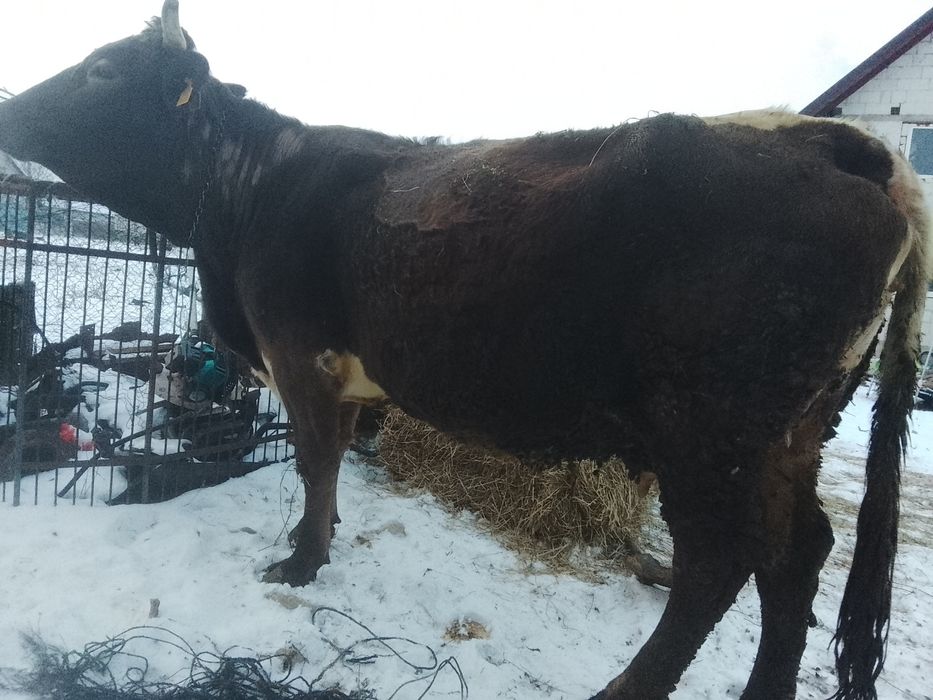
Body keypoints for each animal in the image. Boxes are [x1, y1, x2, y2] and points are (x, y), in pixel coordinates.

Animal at [0, 3, 928, 698]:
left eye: (103, 70)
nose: (8, 107)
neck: (251, 188)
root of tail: (836, 143)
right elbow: (331, 462)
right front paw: (320, 536)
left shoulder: (298, 354)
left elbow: (314, 458)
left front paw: (301, 562)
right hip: (792, 429)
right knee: (798, 553)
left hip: (710, 429)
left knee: (719, 563)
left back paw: (626, 688)